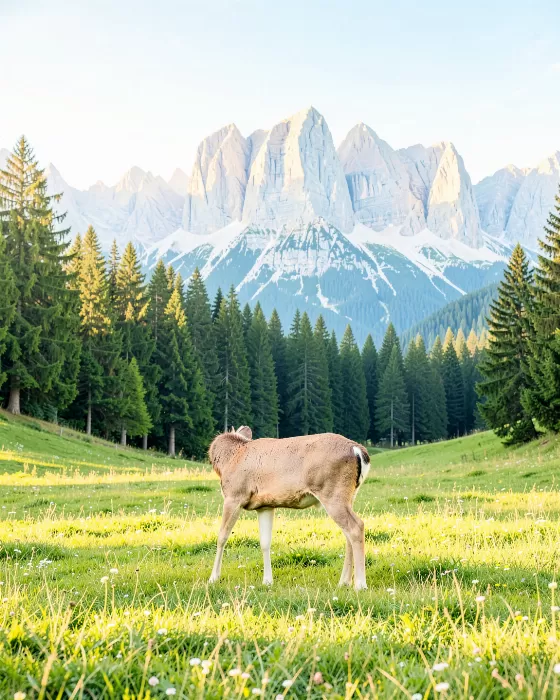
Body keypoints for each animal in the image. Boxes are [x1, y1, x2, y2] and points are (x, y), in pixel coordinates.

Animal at [208, 426, 371, 591]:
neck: (230, 458)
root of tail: (358, 450)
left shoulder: (234, 496)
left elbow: (222, 536)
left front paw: (213, 578)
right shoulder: (265, 505)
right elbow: (265, 542)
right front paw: (267, 581)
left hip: (332, 493)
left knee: (356, 527)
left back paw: (360, 584)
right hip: (349, 496)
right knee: (348, 534)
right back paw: (344, 582)